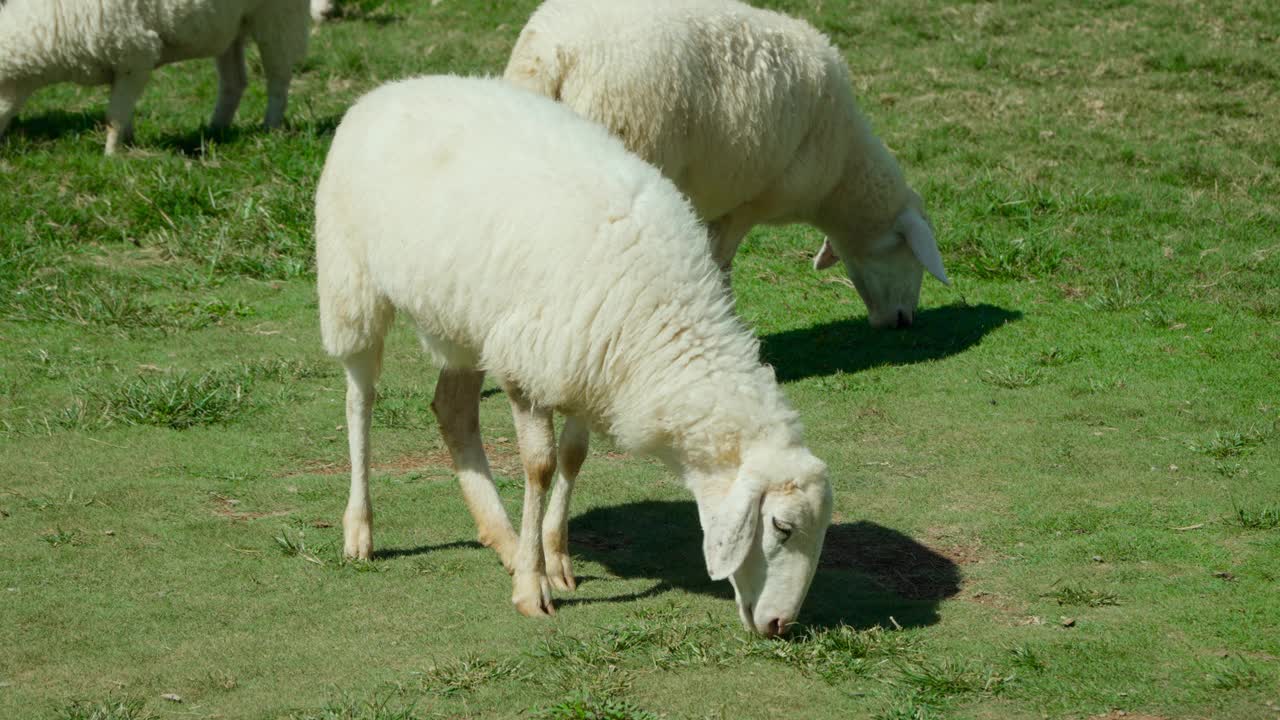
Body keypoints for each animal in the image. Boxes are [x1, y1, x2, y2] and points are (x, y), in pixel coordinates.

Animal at [0, 0, 308, 152]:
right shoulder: (124, 65)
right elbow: (123, 110)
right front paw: (127, 141)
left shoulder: (135, 52)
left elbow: (114, 115)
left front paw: (110, 155)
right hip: (228, 27)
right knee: (235, 81)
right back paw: (216, 129)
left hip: (277, 16)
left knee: (278, 77)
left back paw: (270, 127)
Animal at [316, 74, 834, 632]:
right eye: (782, 527)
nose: (782, 626)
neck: (667, 321)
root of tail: (388, 89)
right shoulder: (529, 367)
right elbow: (541, 466)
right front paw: (532, 586)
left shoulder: (591, 367)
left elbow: (573, 455)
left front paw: (553, 557)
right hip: (351, 284)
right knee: (360, 399)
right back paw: (360, 529)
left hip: (465, 323)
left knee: (452, 409)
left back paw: (502, 537)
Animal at [506, 0, 952, 330]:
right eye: (910, 253)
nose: (905, 320)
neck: (841, 169)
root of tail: (552, 54)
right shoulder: (745, 202)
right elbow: (720, 266)